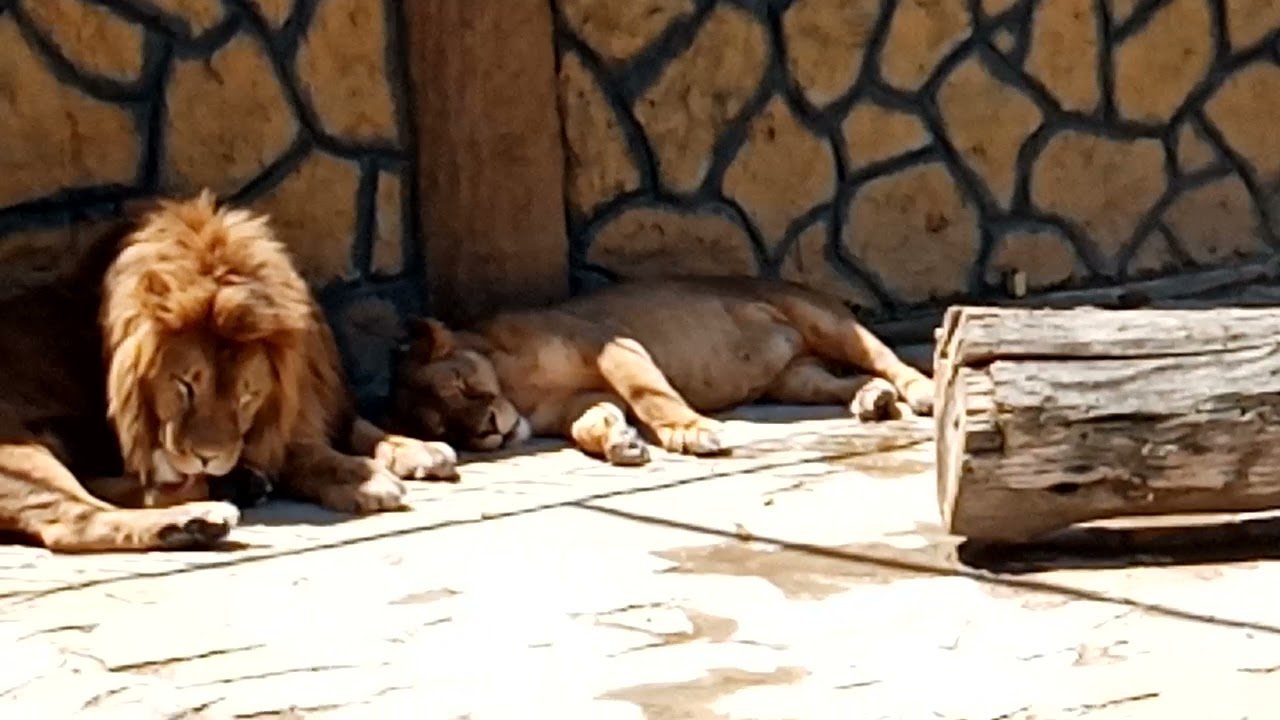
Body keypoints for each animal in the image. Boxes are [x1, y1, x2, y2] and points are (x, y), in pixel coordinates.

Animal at [0, 191, 458, 553]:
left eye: (246, 395)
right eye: (184, 386)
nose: (206, 458)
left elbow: (357, 425)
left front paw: (415, 448)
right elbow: (306, 454)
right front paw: (363, 479)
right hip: (20, 448)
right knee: (72, 519)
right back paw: (197, 518)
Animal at [389, 276, 934, 466]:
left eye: (461, 385)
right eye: (445, 430)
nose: (487, 431)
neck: (515, 391)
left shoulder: (611, 345)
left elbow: (649, 395)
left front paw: (690, 433)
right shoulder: (578, 401)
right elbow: (591, 423)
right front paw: (618, 443)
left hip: (823, 319)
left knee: (889, 360)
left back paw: (921, 392)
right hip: (797, 379)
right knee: (846, 380)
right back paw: (873, 400)